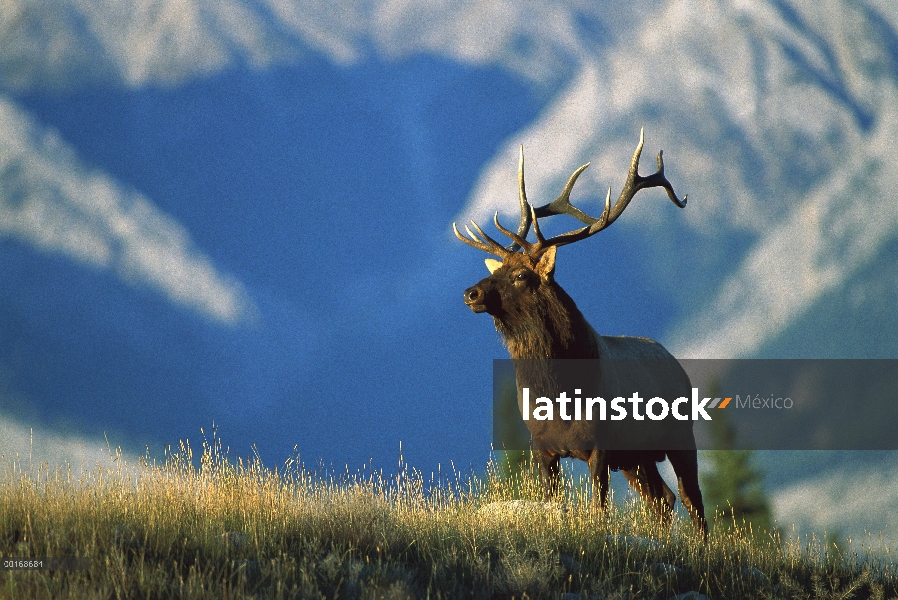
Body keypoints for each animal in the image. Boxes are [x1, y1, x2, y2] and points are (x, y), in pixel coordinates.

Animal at [456, 129, 708, 532]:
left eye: (520, 275)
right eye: (497, 270)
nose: (470, 293)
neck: (560, 397)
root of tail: (673, 360)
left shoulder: (600, 446)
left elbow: (598, 509)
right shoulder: (541, 449)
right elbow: (552, 503)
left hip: (680, 436)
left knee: (692, 502)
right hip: (637, 457)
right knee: (662, 500)